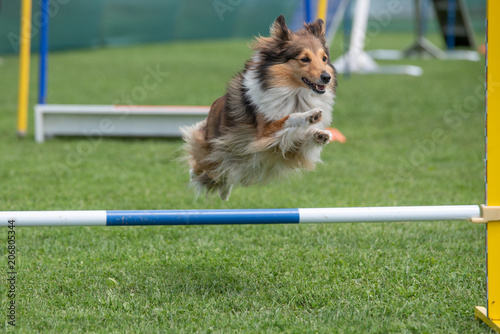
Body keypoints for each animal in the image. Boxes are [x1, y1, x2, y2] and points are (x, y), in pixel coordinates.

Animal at [182, 14, 338, 200]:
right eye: (304, 59)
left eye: (324, 58)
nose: (327, 77)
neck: (295, 94)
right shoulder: (264, 132)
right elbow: (288, 117)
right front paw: (309, 115)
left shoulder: (286, 147)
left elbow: (298, 137)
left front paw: (319, 134)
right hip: (212, 153)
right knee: (198, 168)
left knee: (224, 177)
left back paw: (225, 192)